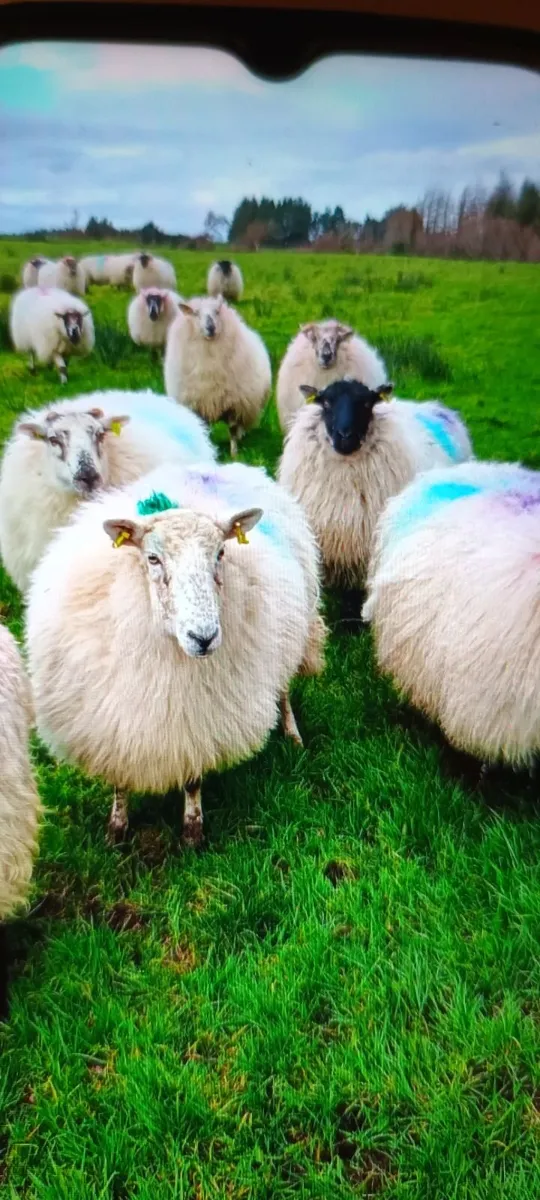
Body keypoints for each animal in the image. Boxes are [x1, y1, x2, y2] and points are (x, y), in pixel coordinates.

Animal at [25, 458, 327, 847]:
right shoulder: (111, 719)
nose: (204, 637)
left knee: (285, 687)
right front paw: (117, 830)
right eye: (153, 558)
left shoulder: (195, 715)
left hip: (293, 629)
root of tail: (215, 466)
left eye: (221, 553)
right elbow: (119, 775)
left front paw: (192, 833)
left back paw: (292, 735)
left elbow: (193, 776)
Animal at [164, 295, 272, 457]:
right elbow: (204, 430)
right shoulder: (199, 404)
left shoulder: (235, 403)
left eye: (217, 311)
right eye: (195, 313)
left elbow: (232, 429)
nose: (211, 327)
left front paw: (234, 454)